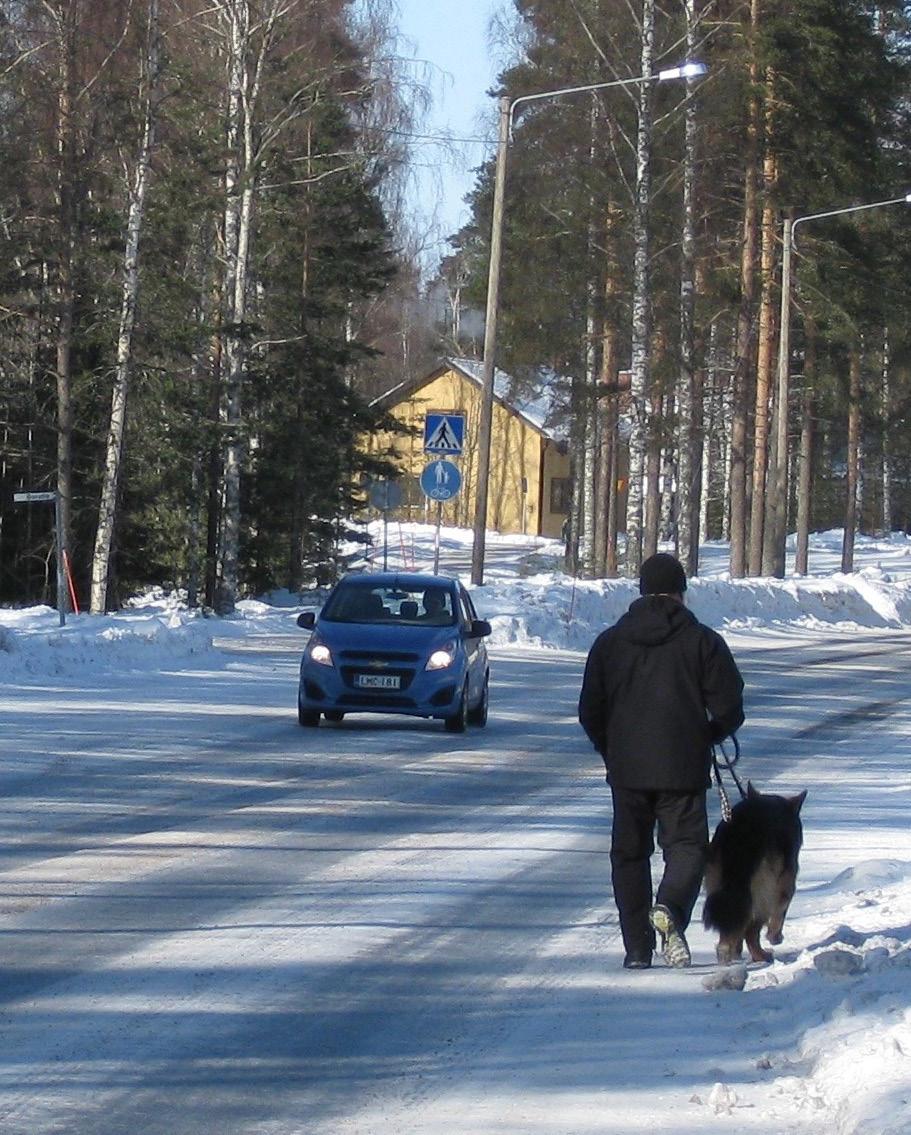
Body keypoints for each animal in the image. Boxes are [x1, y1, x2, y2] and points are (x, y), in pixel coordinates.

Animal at [703, 785, 807, 962]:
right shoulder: (786, 883)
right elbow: (781, 911)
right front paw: (775, 937)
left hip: (720, 885)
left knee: (734, 922)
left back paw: (728, 953)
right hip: (768, 891)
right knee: (751, 931)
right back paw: (760, 955)